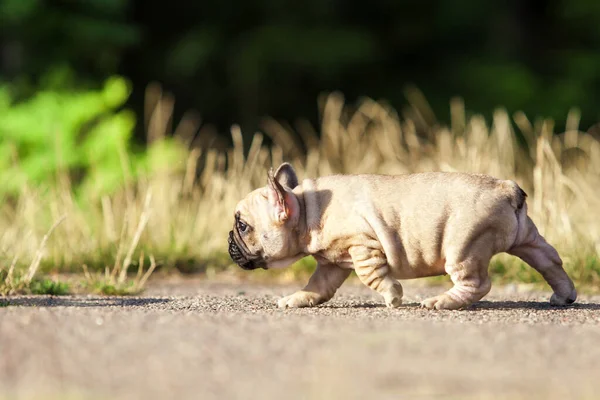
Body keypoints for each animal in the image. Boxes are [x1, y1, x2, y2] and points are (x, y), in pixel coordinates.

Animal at [229, 162, 576, 310]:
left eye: (243, 226)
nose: (229, 239)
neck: (305, 209)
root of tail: (505, 188)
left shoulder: (362, 247)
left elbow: (372, 277)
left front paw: (393, 296)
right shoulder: (332, 264)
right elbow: (317, 287)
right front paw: (297, 299)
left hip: (463, 246)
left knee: (476, 283)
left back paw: (440, 302)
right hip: (527, 237)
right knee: (550, 261)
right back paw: (565, 295)